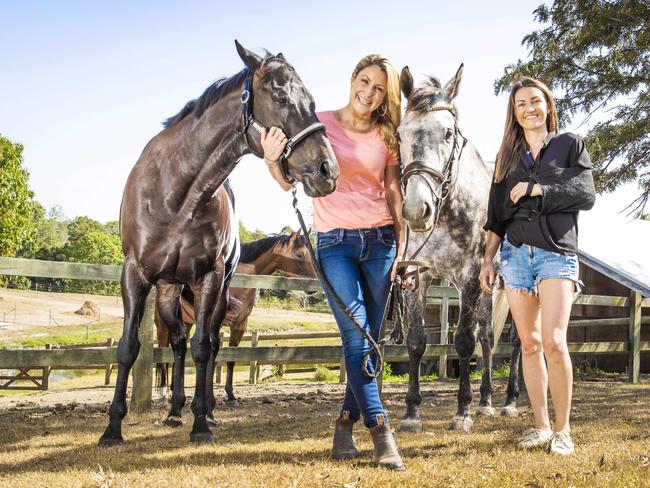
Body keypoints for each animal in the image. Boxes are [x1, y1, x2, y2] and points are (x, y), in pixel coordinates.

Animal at [100, 42, 340, 446]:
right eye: (281, 97)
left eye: (311, 100)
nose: (328, 170)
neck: (177, 193)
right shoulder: (134, 275)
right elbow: (129, 347)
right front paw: (112, 428)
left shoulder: (209, 279)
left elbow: (204, 349)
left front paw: (201, 422)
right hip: (167, 293)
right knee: (177, 344)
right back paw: (174, 410)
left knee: (208, 344)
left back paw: (204, 409)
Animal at [392, 63, 520, 430]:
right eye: (400, 135)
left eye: (448, 134)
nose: (416, 210)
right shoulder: (417, 276)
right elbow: (417, 342)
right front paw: (412, 413)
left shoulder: (469, 277)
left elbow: (463, 341)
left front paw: (462, 411)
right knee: (489, 338)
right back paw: (487, 401)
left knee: (518, 341)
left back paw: (509, 401)